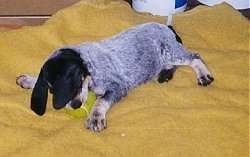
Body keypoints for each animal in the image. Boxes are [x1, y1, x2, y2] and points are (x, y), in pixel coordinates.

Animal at [16, 22, 214, 132]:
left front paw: (96, 118)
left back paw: (203, 75)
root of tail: (167, 27)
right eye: (50, 90)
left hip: (172, 52)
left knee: (194, 57)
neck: (90, 69)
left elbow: (100, 101)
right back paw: (165, 74)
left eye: (78, 82)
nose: (75, 106)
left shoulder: (117, 86)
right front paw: (28, 80)